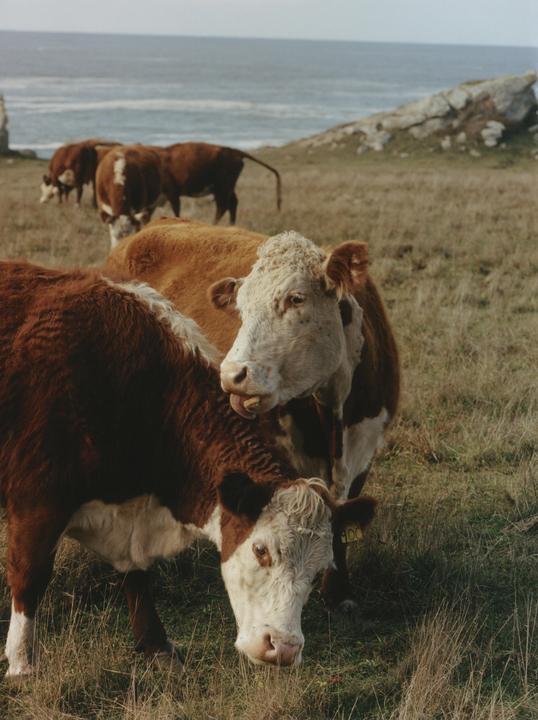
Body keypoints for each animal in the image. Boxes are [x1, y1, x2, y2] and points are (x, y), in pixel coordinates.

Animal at [0, 260, 377, 678]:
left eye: (317, 571)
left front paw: (156, 645)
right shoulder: (37, 502)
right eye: (261, 550)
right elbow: (29, 575)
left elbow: (138, 575)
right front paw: (22, 663)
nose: (282, 647)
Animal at [105, 219, 400, 609]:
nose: (232, 375)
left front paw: (339, 592)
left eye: (296, 298)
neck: (334, 414)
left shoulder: (364, 449)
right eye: (241, 308)